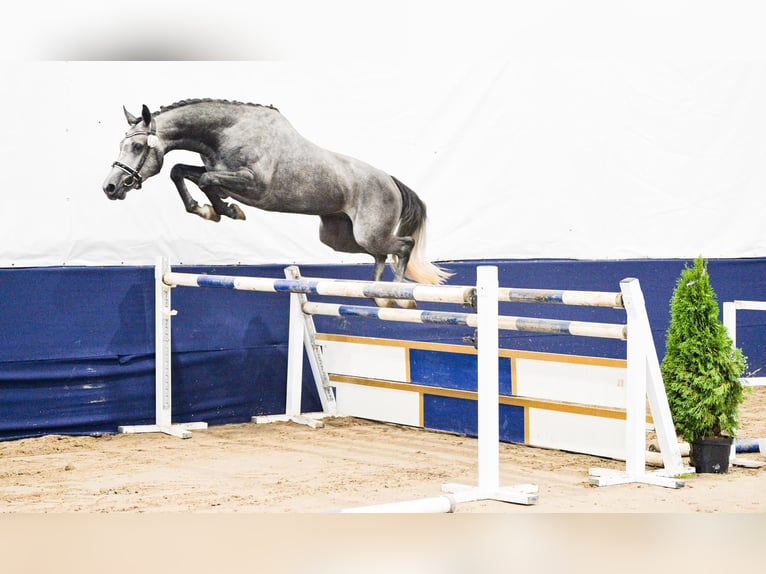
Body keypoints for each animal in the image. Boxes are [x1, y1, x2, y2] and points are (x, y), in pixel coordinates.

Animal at [102, 99, 450, 307]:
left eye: (136, 147)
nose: (110, 187)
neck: (226, 132)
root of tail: (391, 181)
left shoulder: (253, 183)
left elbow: (205, 181)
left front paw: (224, 209)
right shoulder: (219, 171)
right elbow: (181, 171)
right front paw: (213, 210)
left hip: (368, 232)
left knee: (403, 245)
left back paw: (400, 297)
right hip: (339, 237)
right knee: (380, 254)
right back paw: (380, 296)